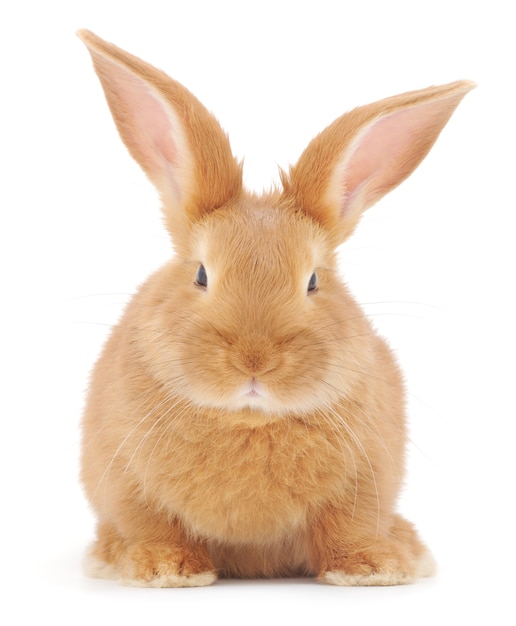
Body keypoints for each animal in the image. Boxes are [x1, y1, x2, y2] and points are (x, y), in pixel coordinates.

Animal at [77, 29, 476, 584]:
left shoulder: (365, 478)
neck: (249, 417)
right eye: (201, 274)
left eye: (313, 281)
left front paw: (372, 568)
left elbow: (348, 527)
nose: (255, 359)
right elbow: (152, 523)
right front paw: (167, 569)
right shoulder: (126, 476)